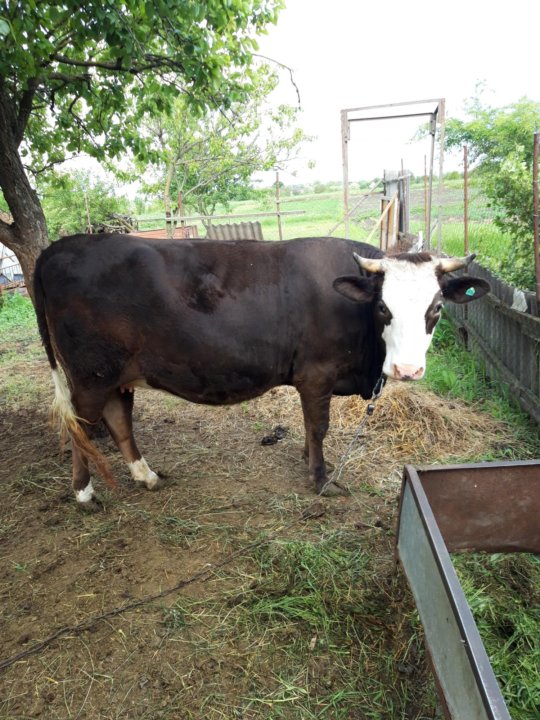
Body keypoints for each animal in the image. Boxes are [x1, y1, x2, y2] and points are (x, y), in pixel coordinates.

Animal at [33, 234, 489, 509]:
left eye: (437, 307)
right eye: (382, 307)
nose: (407, 369)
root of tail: (62, 245)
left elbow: (309, 426)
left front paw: (309, 459)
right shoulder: (316, 374)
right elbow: (319, 426)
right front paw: (321, 478)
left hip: (116, 376)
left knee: (118, 420)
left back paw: (145, 475)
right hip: (89, 377)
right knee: (81, 429)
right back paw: (84, 493)